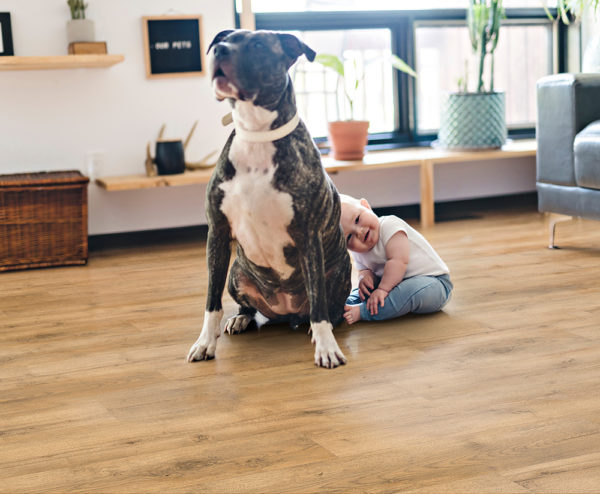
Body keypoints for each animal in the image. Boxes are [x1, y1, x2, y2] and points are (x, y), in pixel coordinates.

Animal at [188, 29, 352, 366]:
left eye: (259, 45)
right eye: (224, 40)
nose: (220, 50)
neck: (256, 133)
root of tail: (285, 313)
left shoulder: (308, 235)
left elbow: (319, 304)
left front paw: (327, 348)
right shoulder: (217, 233)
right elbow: (211, 302)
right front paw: (205, 343)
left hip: (340, 270)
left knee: (328, 308)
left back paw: (318, 326)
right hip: (236, 273)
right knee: (248, 306)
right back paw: (242, 318)